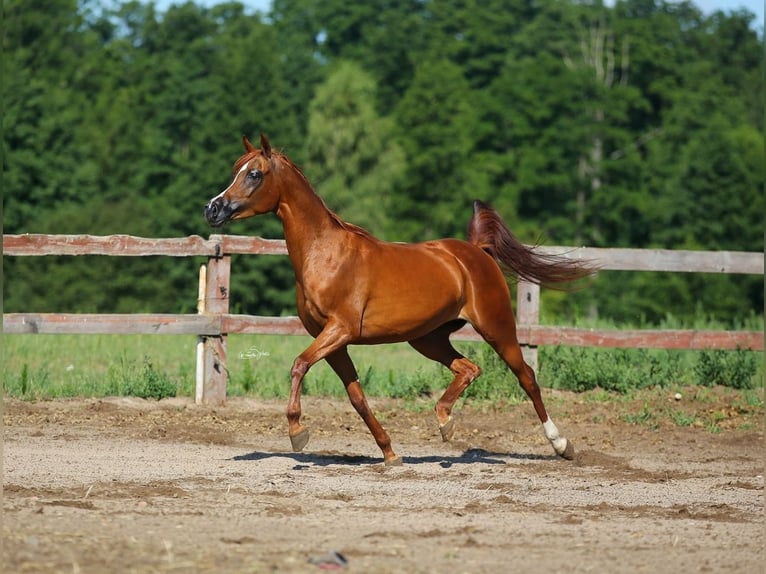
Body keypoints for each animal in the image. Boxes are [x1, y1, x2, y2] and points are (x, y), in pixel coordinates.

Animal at [205, 134, 596, 466]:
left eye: (254, 173)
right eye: (236, 169)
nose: (213, 209)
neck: (325, 254)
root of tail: (476, 252)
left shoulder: (340, 330)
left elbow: (299, 365)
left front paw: (297, 432)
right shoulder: (333, 340)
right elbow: (356, 397)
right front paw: (390, 453)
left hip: (496, 327)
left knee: (526, 377)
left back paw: (562, 445)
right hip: (428, 338)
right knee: (469, 368)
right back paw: (445, 422)